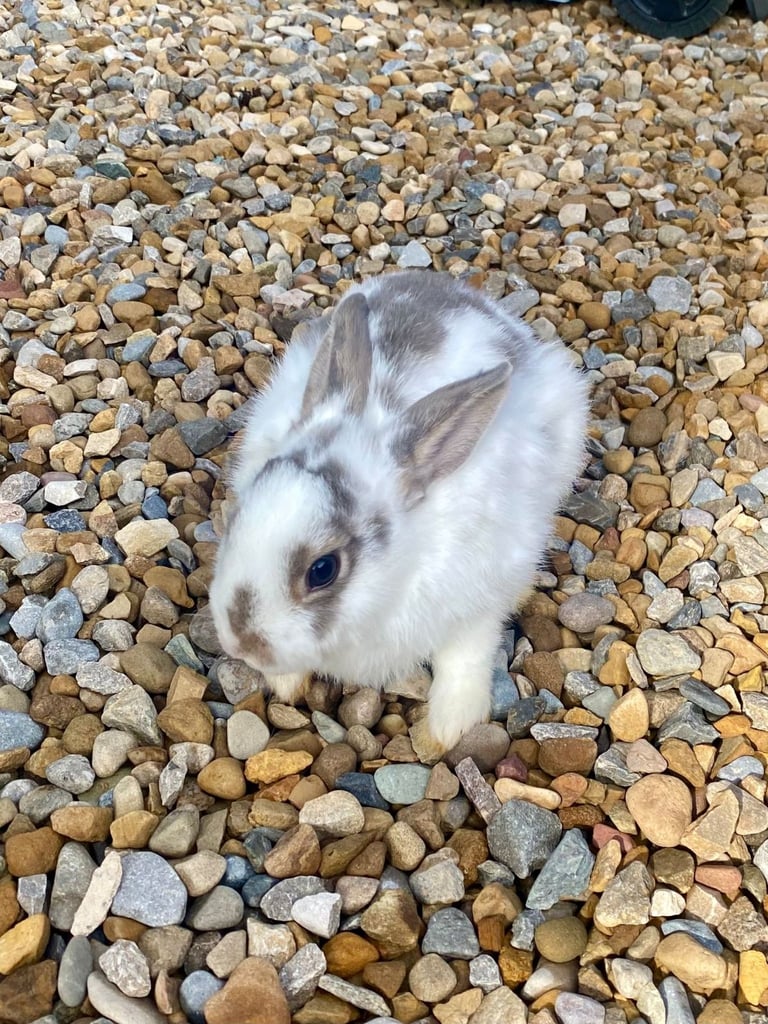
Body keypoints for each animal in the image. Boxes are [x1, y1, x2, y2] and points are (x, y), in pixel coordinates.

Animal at [210, 270, 590, 750]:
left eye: (323, 570)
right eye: (236, 516)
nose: (241, 643)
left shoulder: (479, 604)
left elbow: (465, 659)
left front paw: (450, 729)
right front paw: (286, 684)